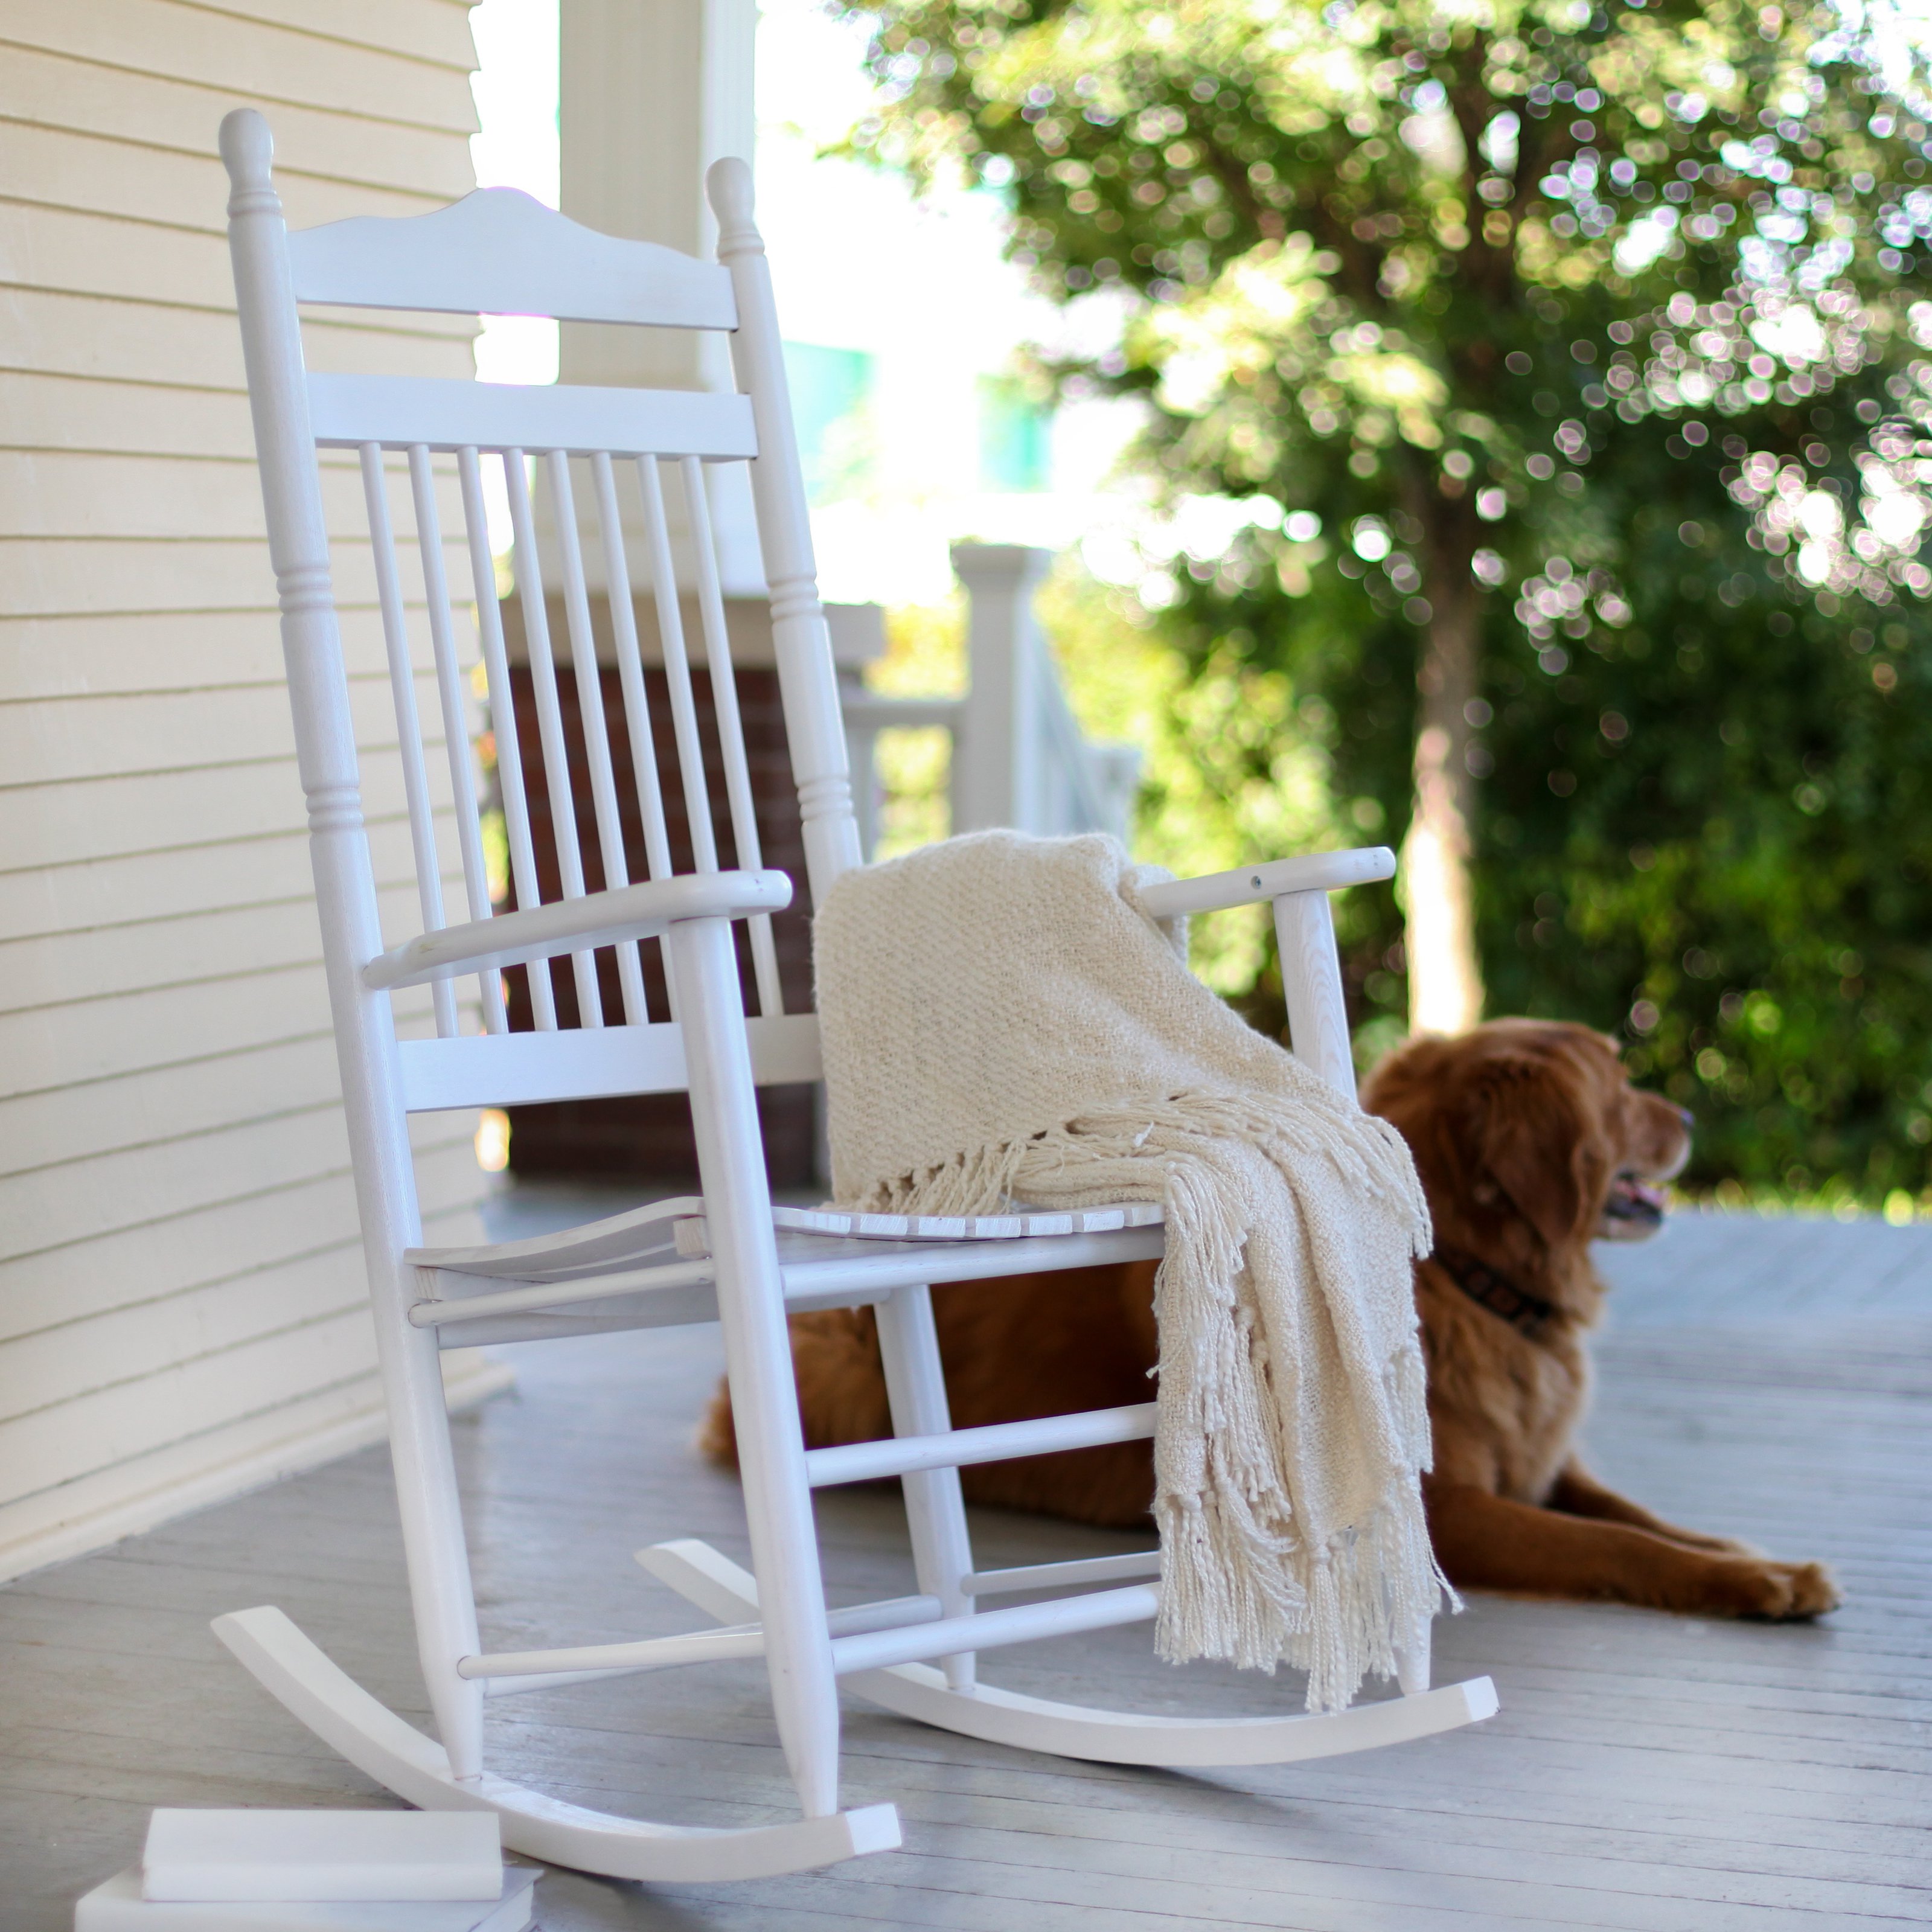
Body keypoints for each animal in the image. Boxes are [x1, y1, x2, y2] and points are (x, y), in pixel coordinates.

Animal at [707, 1020, 1839, 1623]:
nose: (1690, 1116)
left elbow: (1648, 1519)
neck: (1475, 1283)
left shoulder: (1543, 1462)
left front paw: (1760, 1562)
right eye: (1621, 1081)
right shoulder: (1447, 1506)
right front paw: (1751, 1581)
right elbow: (1620, 1548)